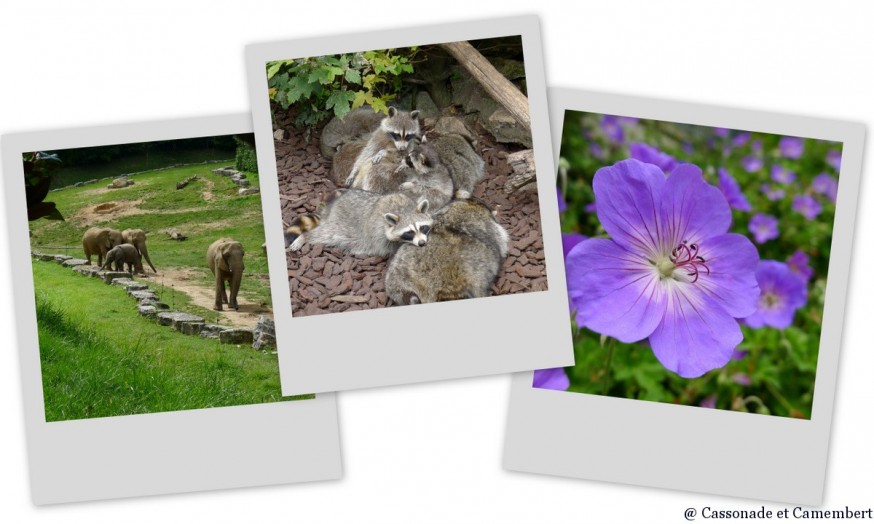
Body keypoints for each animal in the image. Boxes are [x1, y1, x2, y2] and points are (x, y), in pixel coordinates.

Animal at [286, 191, 432, 258]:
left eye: (423, 227)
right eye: (409, 232)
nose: (422, 243)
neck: (403, 208)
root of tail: (331, 208)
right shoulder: (378, 231)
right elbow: (384, 247)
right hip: (339, 224)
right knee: (326, 234)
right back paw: (305, 237)